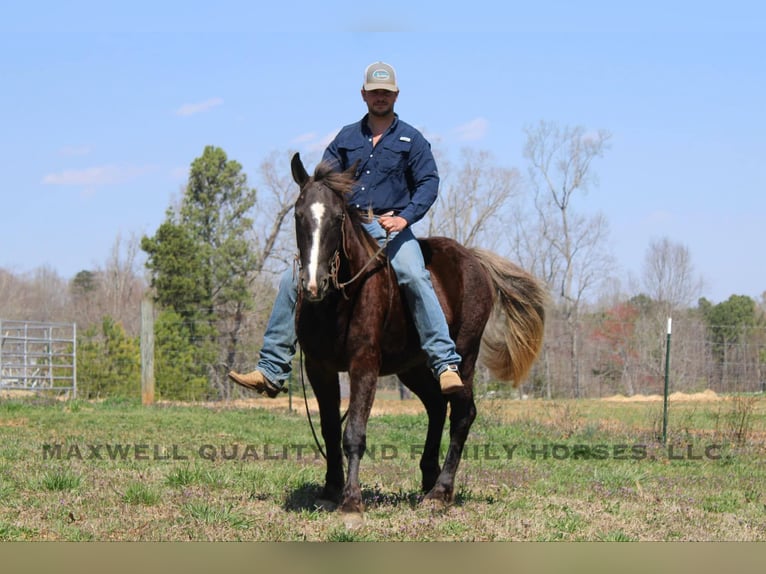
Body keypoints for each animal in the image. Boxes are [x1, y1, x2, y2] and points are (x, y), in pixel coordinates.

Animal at [289, 152, 547, 520]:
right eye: (298, 215)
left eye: (338, 218)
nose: (314, 284)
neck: (339, 301)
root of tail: (474, 259)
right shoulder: (319, 368)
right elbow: (329, 429)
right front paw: (330, 490)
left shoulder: (363, 365)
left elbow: (353, 432)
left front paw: (351, 501)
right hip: (412, 367)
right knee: (437, 406)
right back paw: (428, 479)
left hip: (464, 357)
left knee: (462, 414)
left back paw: (441, 491)